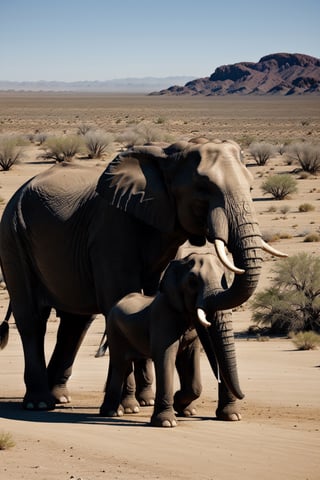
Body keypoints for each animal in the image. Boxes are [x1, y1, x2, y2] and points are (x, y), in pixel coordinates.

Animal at [100, 251, 242, 428]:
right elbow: (165, 357)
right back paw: (113, 412)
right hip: (114, 330)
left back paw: (129, 409)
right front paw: (167, 422)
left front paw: (190, 411)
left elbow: (191, 362)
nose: (242, 396)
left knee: (127, 364)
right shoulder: (163, 317)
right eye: (193, 283)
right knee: (120, 364)